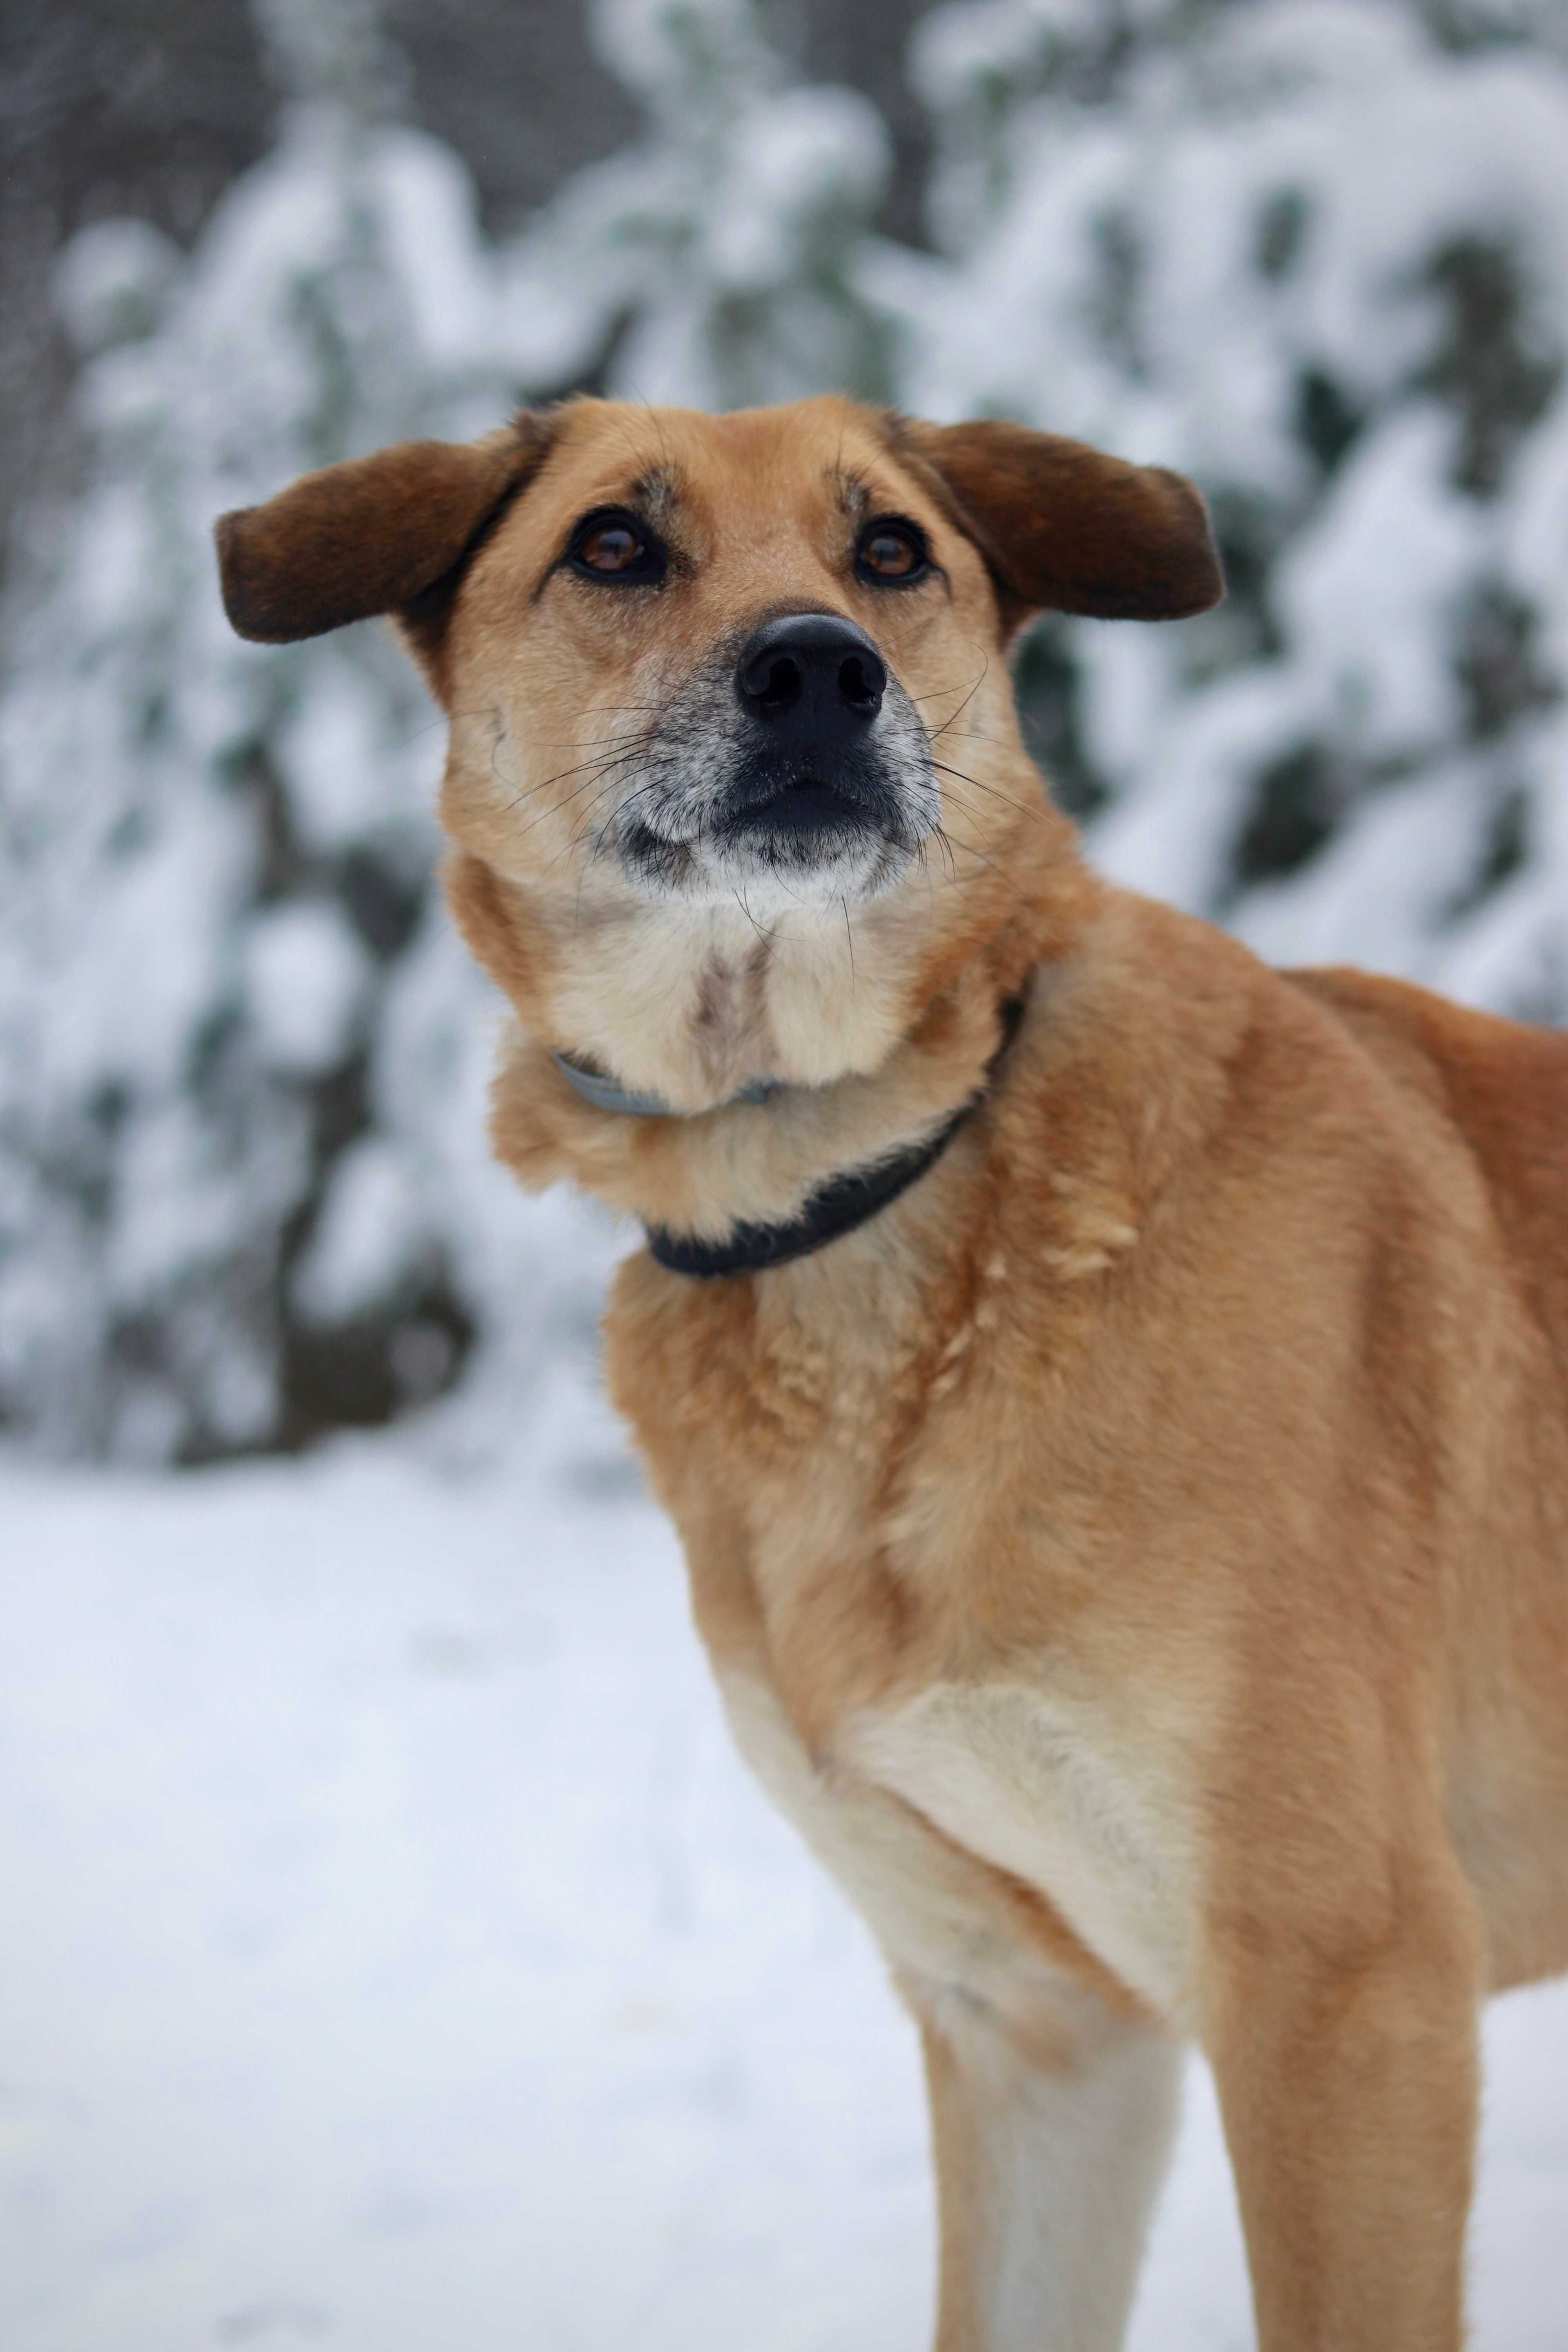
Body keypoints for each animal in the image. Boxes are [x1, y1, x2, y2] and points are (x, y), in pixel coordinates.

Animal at [217, 405, 1568, 2352]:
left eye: (891, 554)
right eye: (612, 545)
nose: (816, 673)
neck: (870, 1179)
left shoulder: (1343, 1989)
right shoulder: (1034, 2021)